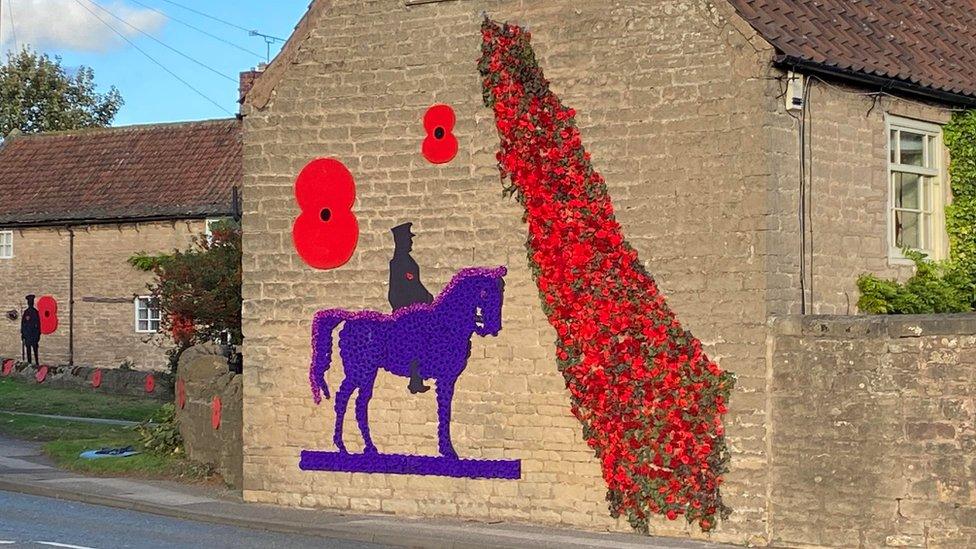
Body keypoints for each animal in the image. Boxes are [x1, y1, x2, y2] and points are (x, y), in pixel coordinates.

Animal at [310, 266, 510, 458]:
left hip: (365, 373)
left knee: (355, 402)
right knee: (347, 400)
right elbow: (445, 411)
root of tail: (349, 319)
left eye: (501, 291)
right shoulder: (445, 379)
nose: (494, 327)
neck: (448, 323)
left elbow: (445, 411)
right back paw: (348, 446)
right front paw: (448, 450)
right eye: (484, 293)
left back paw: (360, 447)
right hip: (360, 372)